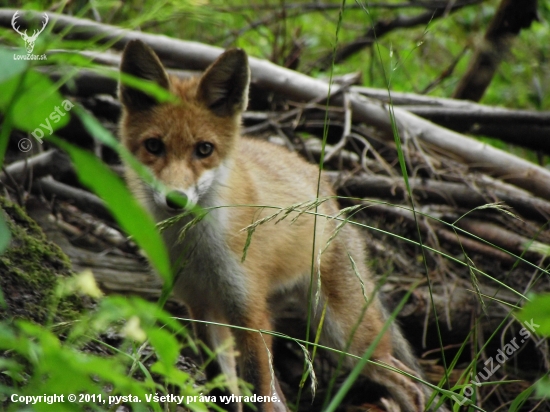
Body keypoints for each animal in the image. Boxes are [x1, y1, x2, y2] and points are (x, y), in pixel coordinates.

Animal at [118, 39, 446, 412]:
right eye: (153, 146)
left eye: (204, 149)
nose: (176, 200)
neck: (197, 249)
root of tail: (330, 195)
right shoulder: (201, 308)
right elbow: (224, 390)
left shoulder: (247, 312)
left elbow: (258, 392)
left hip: (345, 338)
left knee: (410, 385)